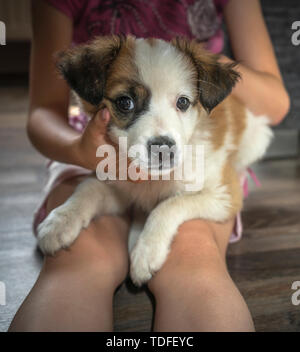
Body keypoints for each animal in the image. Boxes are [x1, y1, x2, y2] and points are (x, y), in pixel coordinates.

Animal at [37, 35, 272, 284]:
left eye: (183, 102)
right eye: (125, 102)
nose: (163, 149)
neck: (153, 179)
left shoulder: (224, 196)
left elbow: (170, 204)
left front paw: (146, 250)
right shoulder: (120, 187)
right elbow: (88, 187)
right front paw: (59, 220)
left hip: (258, 138)